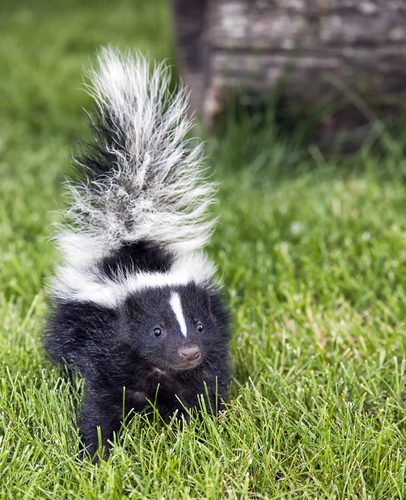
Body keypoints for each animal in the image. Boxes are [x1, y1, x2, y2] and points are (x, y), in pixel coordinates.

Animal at [44, 48, 232, 458]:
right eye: (156, 330)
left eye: (198, 325)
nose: (188, 352)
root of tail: (132, 240)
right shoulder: (108, 351)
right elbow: (103, 401)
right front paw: (94, 452)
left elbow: (204, 391)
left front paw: (205, 434)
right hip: (70, 320)